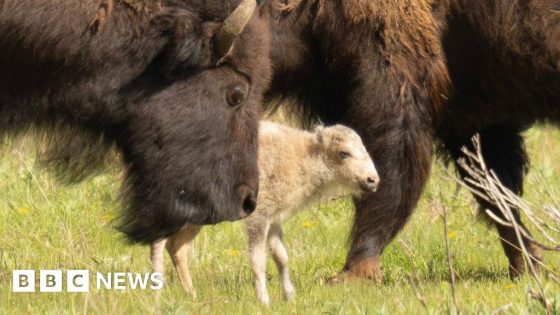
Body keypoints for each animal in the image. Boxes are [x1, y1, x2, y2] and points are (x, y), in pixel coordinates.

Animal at [151, 121, 378, 304]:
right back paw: (158, 293)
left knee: (177, 248)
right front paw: (264, 300)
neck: (304, 155)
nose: (372, 180)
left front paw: (290, 296)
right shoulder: (258, 219)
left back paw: (192, 294)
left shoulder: (274, 220)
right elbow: (258, 259)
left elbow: (281, 257)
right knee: (159, 243)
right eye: (344, 153)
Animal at [264, 0, 560, 282]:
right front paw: (526, 265)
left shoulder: (397, 88)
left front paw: (354, 272)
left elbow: (390, 171)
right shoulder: (470, 121)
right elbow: (494, 191)